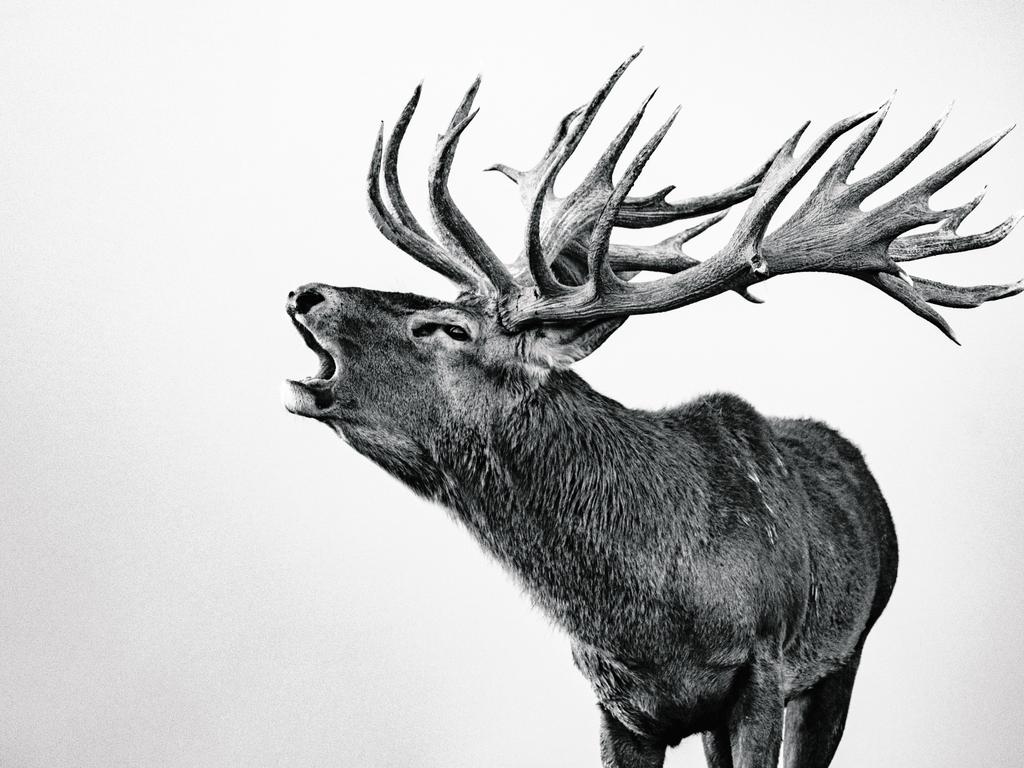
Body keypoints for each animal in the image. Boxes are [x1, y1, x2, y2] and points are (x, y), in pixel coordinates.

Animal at [282, 51, 1024, 765]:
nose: (306, 293)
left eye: (446, 328)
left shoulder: (763, 667)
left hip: (846, 655)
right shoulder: (618, 704)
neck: (652, 616)